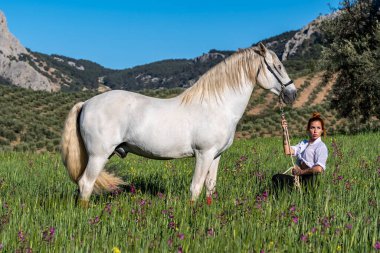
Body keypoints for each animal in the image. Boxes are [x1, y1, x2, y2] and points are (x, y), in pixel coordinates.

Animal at [60, 43, 296, 206]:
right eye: (277, 66)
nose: (292, 94)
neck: (217, 106)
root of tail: (87, 103)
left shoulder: (216, 156)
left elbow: (210, 187)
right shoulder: (203, 154)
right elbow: (196, 188)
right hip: (98, 155)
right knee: (86, 184)